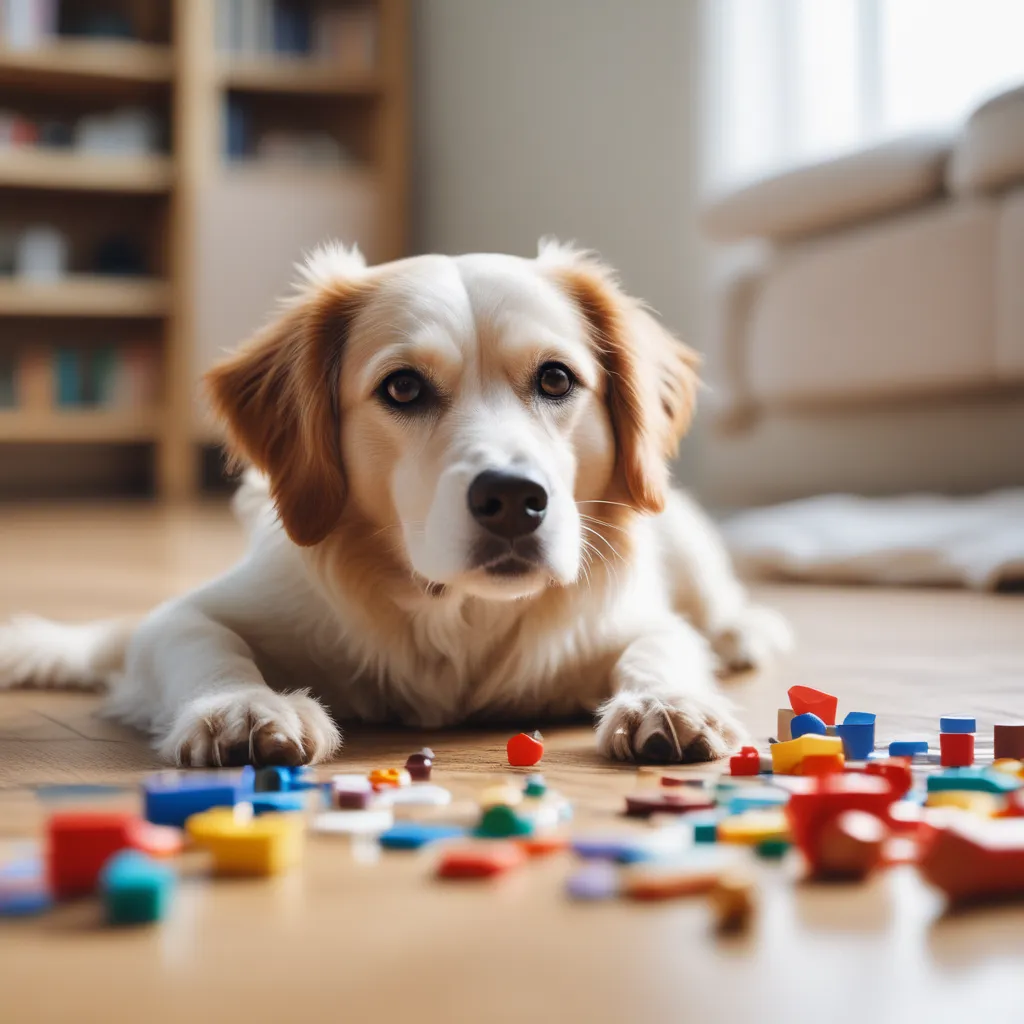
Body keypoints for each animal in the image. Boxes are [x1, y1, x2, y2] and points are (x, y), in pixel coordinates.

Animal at [0, 239, 790, 765]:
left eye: (557, 379)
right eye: (403, 388)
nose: (514, 499)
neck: (455, 614)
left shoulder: (630, 619)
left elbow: (663, 646)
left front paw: (666, 702)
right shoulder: (188, 616)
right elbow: (200, 642)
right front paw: (242, 708)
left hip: (686, 534)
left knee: (714, 604)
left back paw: (743, 630)